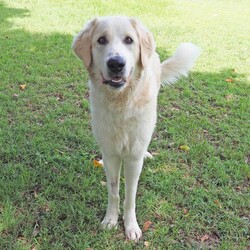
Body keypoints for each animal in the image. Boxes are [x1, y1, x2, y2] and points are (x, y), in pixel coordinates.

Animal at [72, 16, 199, 242]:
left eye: (129, 40)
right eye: (101, 40)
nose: (116, 63)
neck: (121, 103)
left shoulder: (132, 158)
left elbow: (130, 196)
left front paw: (131, 226)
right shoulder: (112, 154)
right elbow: (114, 192)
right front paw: (111, 220)